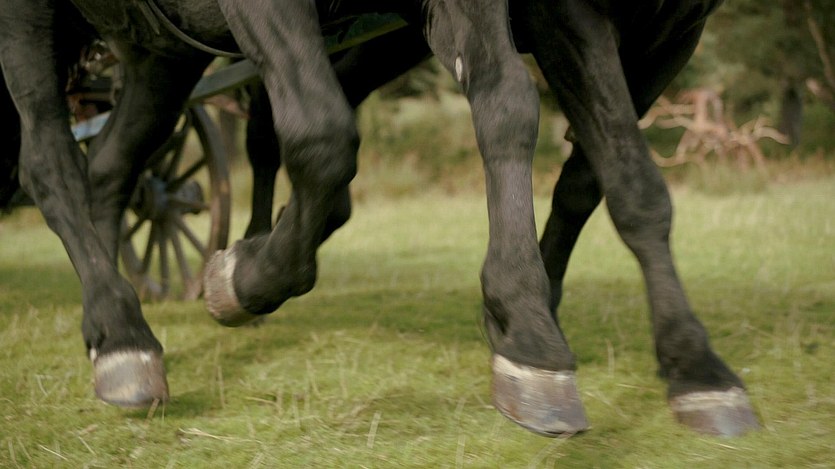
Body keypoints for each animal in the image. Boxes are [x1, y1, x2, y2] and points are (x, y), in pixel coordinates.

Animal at [0, 0, 758, 438]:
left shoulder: (668, 29)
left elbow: (603, 166)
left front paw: (693, 369)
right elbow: (322, 137)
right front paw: (240, 277)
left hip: (161, 50)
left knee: (109, 169)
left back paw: (111, 324)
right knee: (48, 162)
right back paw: (125, 336)